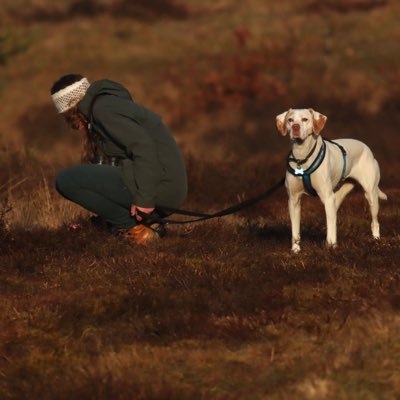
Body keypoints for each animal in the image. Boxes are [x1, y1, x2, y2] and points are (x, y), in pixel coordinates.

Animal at [276, 108, 388, 253]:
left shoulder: (327, 197)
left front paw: (331, 246)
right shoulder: (293, 200)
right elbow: (295, 230)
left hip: (370, 195)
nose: (295, 127)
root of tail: (366, 147)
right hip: (336, 198)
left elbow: (330, 227)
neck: (303, 158)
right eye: (290, 120)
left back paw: (376, 240)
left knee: (374, 222)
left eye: (305, 119)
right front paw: (295, 249)